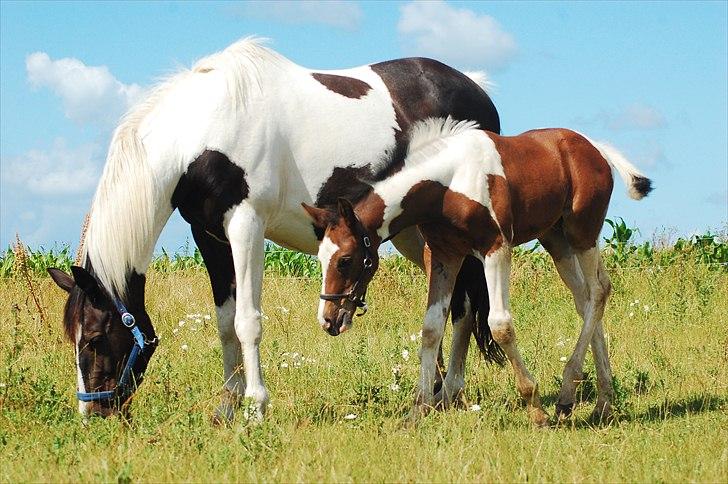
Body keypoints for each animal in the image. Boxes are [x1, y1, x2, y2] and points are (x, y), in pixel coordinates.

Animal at [45, 38, 500, 420]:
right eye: (73, 339)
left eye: (95, 339)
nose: (93, 414)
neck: (201, 133)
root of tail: (477, 90)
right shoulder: (208, 235)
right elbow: (225, 321)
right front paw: (226, 409)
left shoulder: (247, 224)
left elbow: (248, 321)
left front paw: (255, 408)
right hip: (413, 233)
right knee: (452, 300)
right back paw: (440, 394)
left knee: (464, 303)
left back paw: (449, 392)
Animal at [302, 117, 656, 424]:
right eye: (320, 258)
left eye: (345, 259)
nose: (328, 319)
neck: (448, 184)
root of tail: (596, 148)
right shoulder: (445, 256)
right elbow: (432, 329)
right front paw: (417, 411)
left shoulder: (496, 249)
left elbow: (500, 325)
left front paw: (535, 407)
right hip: (557, 241)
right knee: (585, 300)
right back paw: (599, 402)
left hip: (582, 233)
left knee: (599, 291)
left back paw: (572, 394)